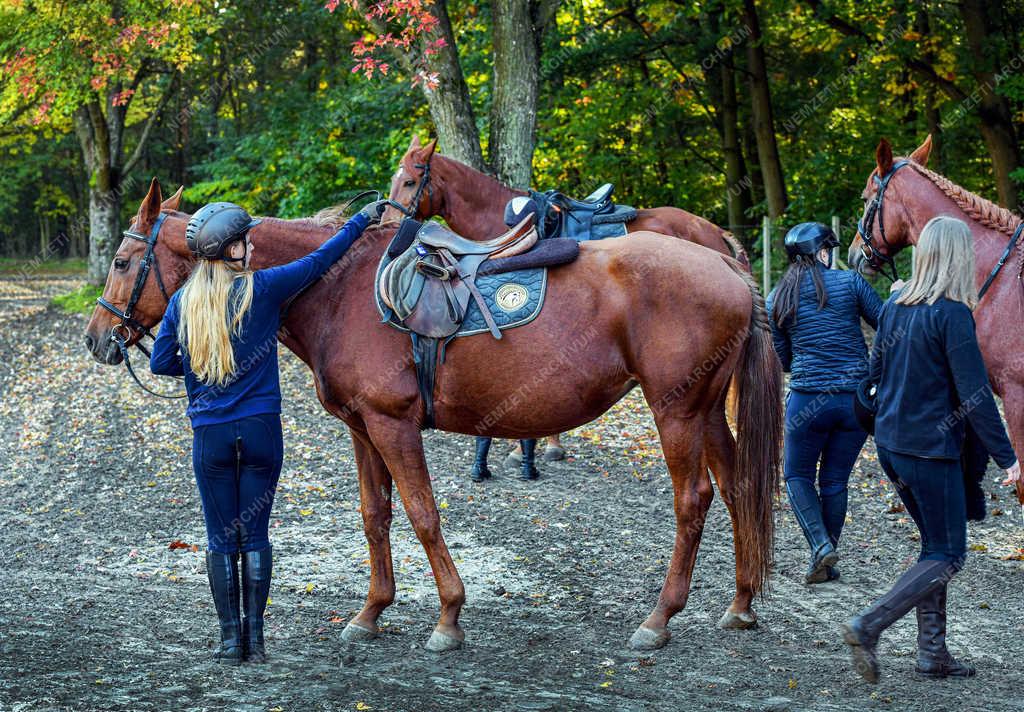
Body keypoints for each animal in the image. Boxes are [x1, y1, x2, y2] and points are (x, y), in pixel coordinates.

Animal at [83, 178, 778, 651]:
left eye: (122, 262)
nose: (96, 339)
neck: (339, 289)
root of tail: (724, 259)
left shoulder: (393, 425)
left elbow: (421, 514)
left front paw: (448, 616)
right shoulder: (363, 429)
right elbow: (376, 517)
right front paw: (371, 613)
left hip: (676, 411)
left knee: (693, 499)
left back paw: (659, 619)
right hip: (706, 411)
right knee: (738, 485)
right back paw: (740, 603)